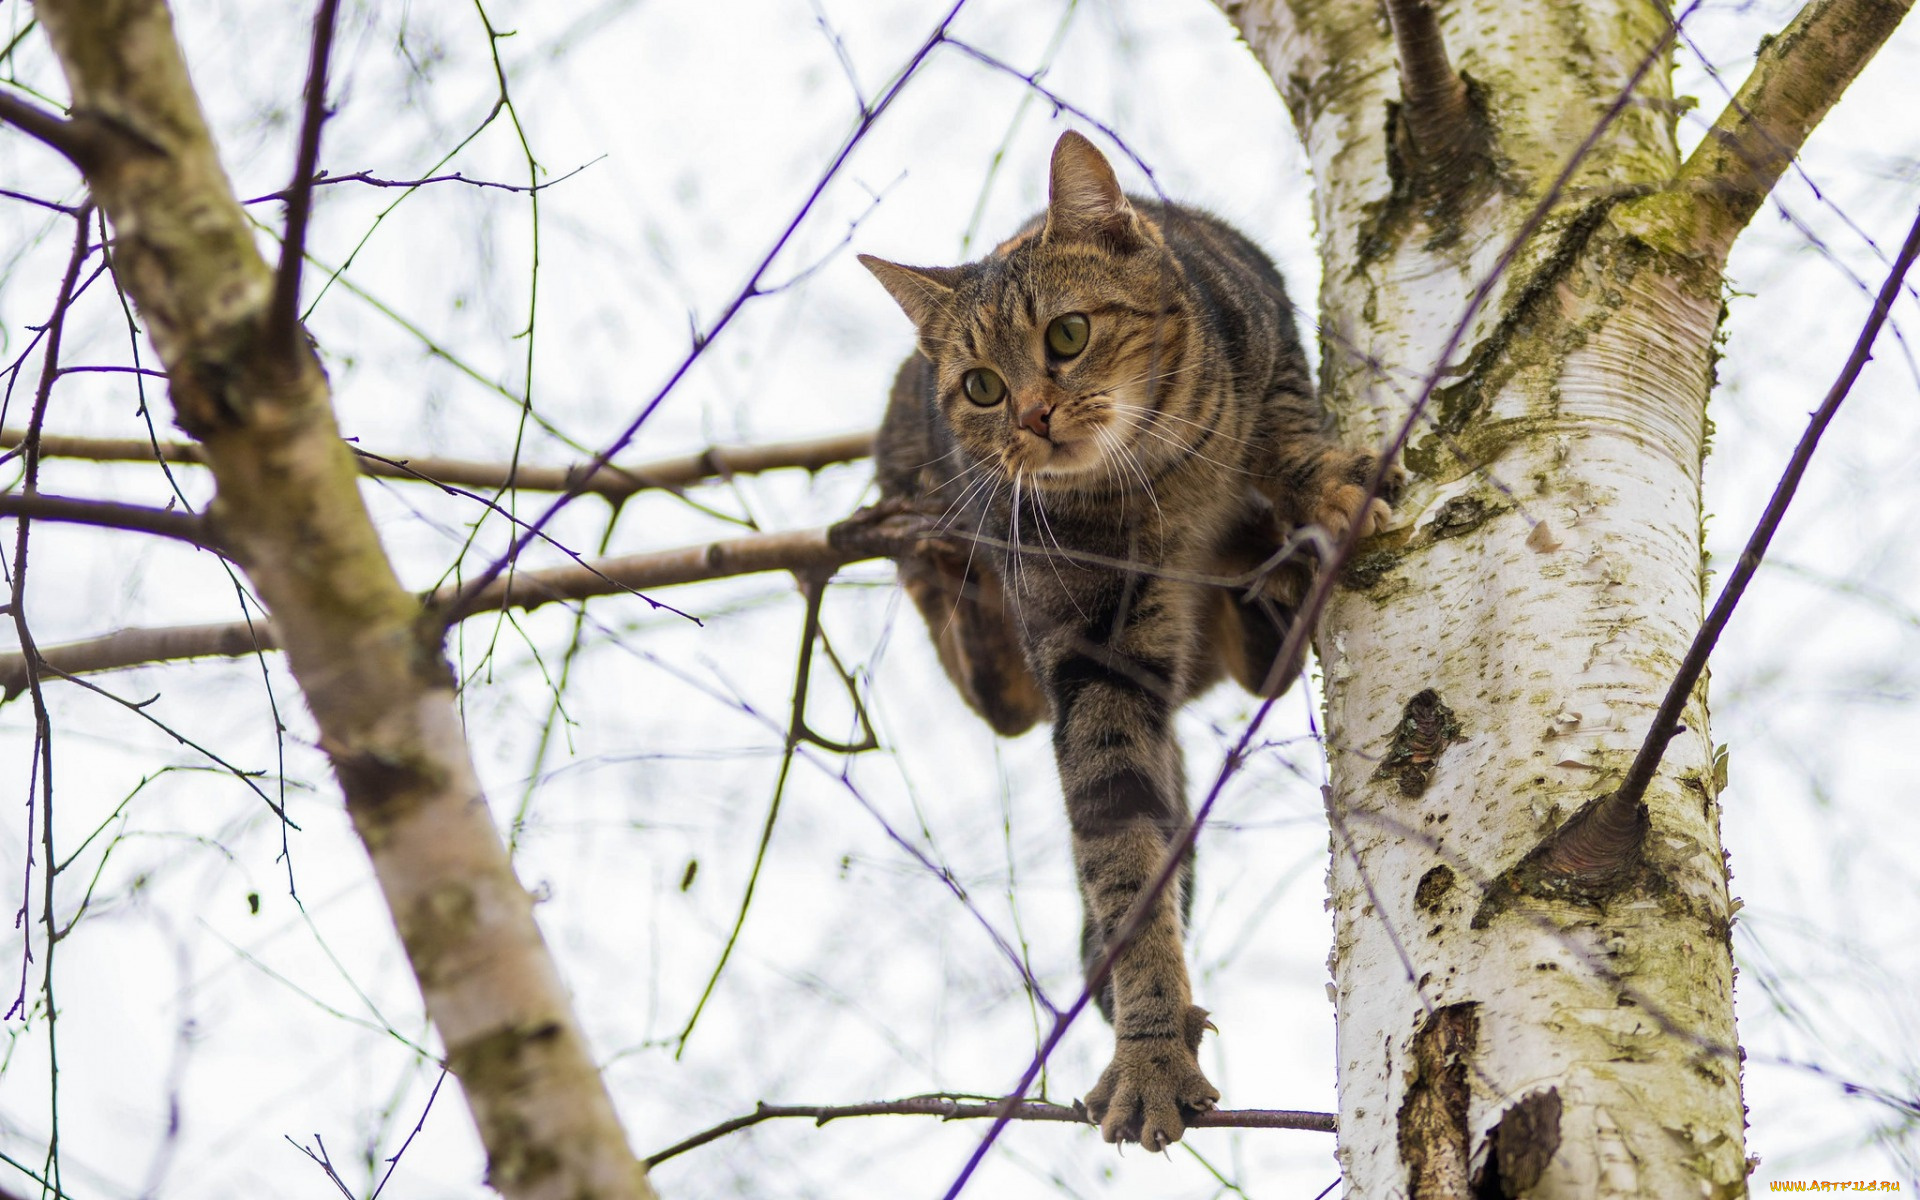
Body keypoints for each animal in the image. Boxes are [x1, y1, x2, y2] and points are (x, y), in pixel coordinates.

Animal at [852, 130, 1382, 1152]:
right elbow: (1123, 849)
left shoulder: (1267, 326)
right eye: (980, 386)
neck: (1160, 483)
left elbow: (1287, 430)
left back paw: (1273, 585)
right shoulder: (1093, 655)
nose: (1030, 418)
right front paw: (1150, 1052)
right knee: (997, 690)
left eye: (1067, 335)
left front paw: (1320, 482)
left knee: (1261, 667)